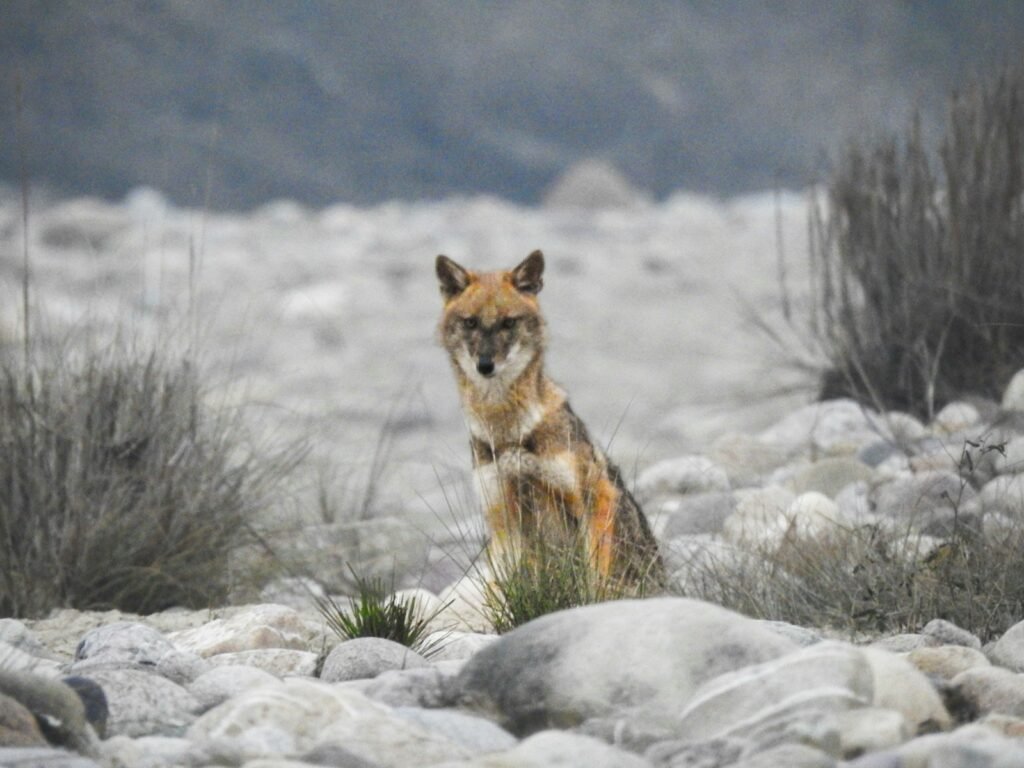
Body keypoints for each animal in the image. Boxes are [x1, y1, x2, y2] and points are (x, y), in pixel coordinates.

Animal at [435, 249, 663, 586]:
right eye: (471, 322)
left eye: (508, 323)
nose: (485, 365)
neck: (509, 431)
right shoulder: (502, 516)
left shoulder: (596, 496)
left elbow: (595, 577)